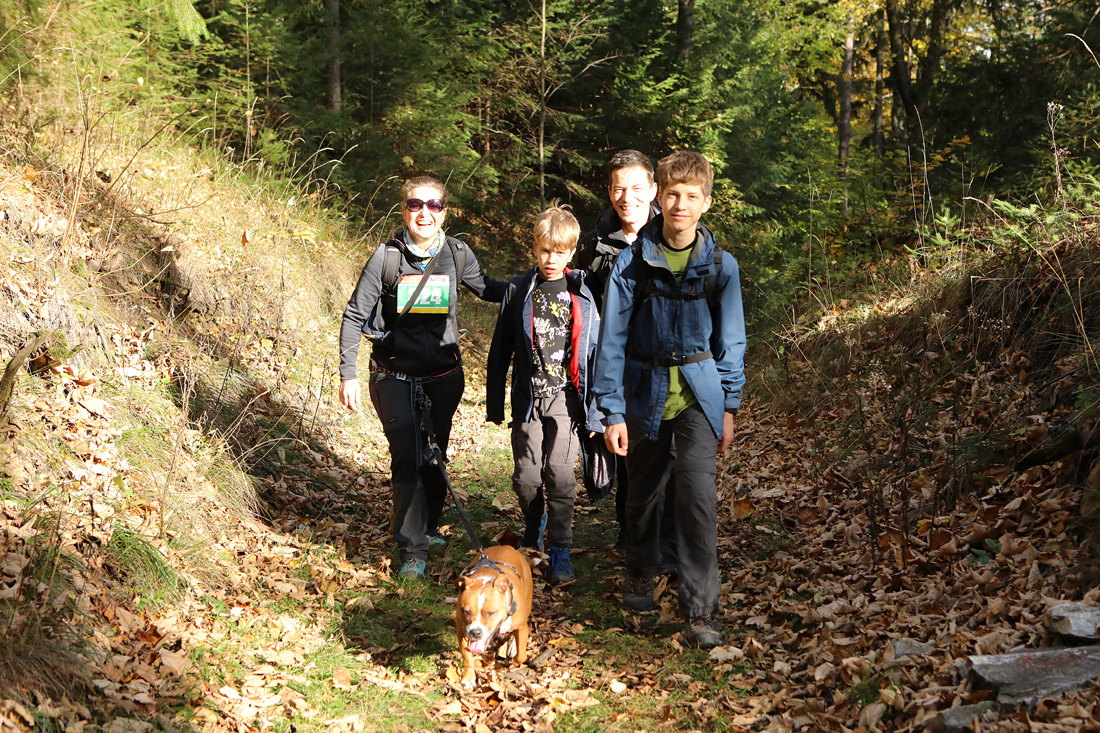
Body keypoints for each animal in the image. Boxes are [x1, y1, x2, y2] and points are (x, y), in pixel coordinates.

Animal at [455, 545, 533, 688]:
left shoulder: (521, 625)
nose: (476, 632)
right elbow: (467, 655)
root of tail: (506, 546)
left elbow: (521, 656)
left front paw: (514, 657)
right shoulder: (462, 630)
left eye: (491, 613)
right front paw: (468, 678)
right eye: (466, 611)